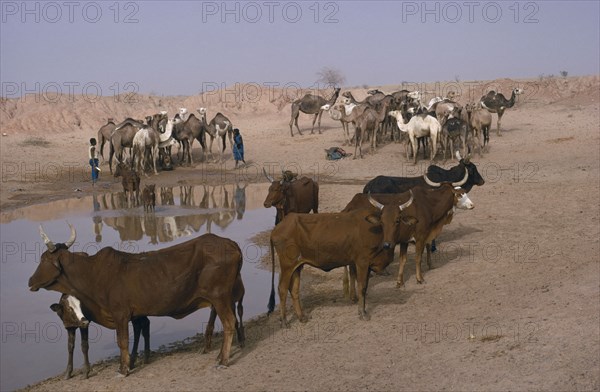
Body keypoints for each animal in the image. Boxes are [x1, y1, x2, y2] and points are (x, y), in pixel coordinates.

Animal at [29, 225, 245, 376]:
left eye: (43, 260)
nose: (30, 280)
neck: (92, 274)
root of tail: (231, 243)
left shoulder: (121, 314)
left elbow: (123, 341)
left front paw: (123, 369)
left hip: (219, 297)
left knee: (229, 323)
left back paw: (223, 361)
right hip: (226, 298)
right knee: (233, 320)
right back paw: (221, 354)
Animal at [268, 194, 418, 324]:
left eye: (397, 220)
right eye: (382, 221)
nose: (388, 244)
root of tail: (278, 228)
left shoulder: (367, 265)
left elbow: (365, 288)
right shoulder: (362, 262)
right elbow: (362, 287)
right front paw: (363, 313)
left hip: (298, 265)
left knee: (294, 289)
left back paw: (301, 317)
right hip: (287, 265)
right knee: (282, 288)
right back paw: (284, 320)